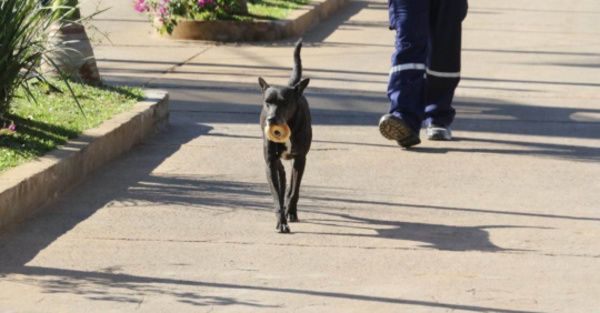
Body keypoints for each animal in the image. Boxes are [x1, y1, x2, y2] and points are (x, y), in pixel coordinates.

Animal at [258, 39, 312, 232]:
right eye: (267, 102)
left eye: (285, 102)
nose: (271, 119)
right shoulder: (269, 163)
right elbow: (276, 195)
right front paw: (281, 221)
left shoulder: (300, 159)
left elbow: (295, 190)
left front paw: (291, 211)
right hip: (275, 160)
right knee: (281, 175)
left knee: (290, 184)